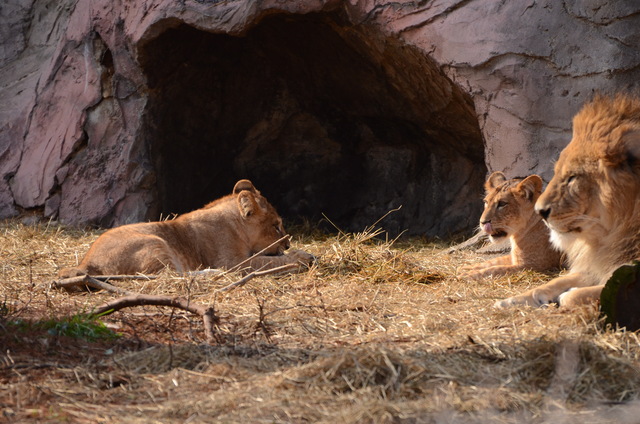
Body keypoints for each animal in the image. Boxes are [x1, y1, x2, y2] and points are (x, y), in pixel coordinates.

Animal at [58, 180, 314, 276]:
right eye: (277, 226)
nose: (287, 243)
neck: (236, 225)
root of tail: (85, 262)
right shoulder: (234, 262)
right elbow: (269, 262)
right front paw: (301, 258)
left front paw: (304, 253)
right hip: (155, 243)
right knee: (172, 276)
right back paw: (211, 273)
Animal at [496, 94, 640, 308]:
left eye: (573, 178)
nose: (539, 212)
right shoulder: (597, 261)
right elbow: (550, 283)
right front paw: (510, 301)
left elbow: (575, 295)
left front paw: (567, 295)